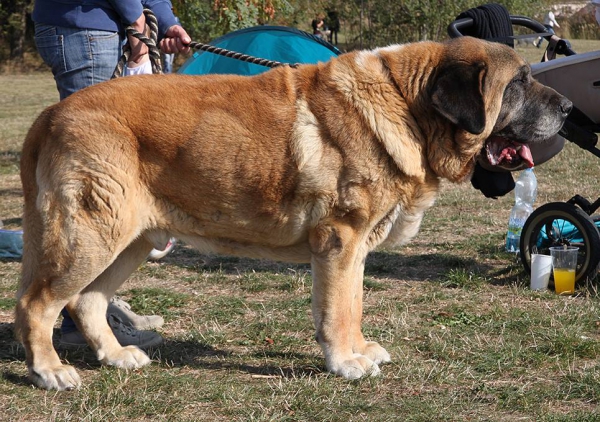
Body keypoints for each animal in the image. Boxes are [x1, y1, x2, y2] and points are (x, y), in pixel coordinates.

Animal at [16, 36, 568, 390]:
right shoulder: (339, 241)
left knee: (86, 301)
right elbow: (336, 310)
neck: (409, 107)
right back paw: (49, 372)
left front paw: (359, 349)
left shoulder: (355, 250)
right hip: (92, 236)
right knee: (37, 304)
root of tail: (50, 114)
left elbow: (353, 305)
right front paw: (344, 363)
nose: (566, 108)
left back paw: (115, 356)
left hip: (130, 240)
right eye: (518, 82)